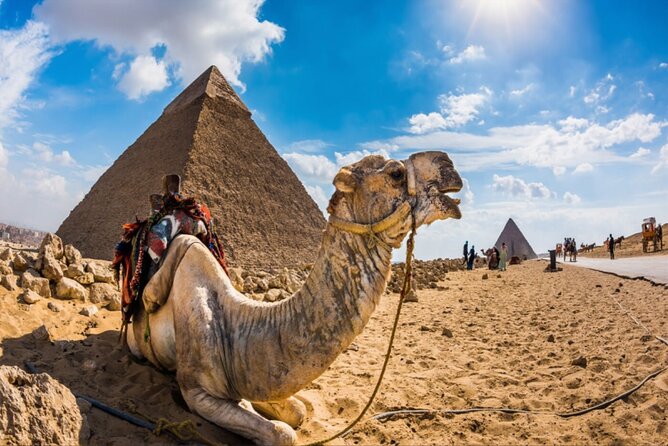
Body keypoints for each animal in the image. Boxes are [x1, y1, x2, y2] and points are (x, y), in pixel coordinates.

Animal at [125, 151, 463, 445]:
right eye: (395, 173)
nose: (449, 166)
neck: (238, 324)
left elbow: (297, 412)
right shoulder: (197, 390)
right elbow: (282, 434)